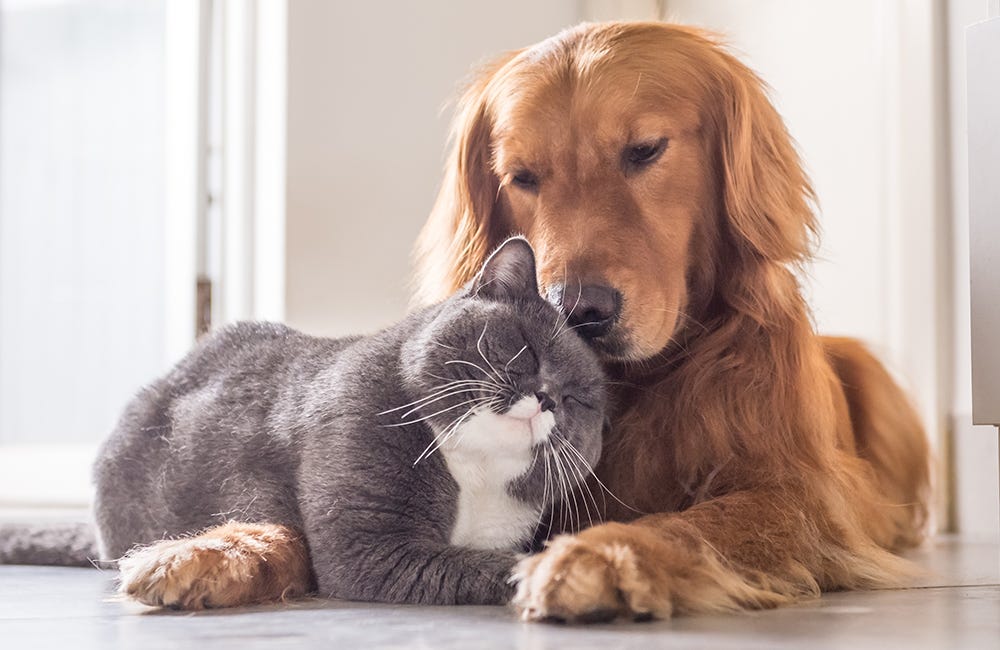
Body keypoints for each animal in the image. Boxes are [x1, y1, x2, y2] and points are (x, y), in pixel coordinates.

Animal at [76, 237, 600, 604]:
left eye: (579, 400)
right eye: (527, 350)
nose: (548, 399)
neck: (474, 471)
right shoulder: (372, 547)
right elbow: (492, 565)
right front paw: (557, 573)